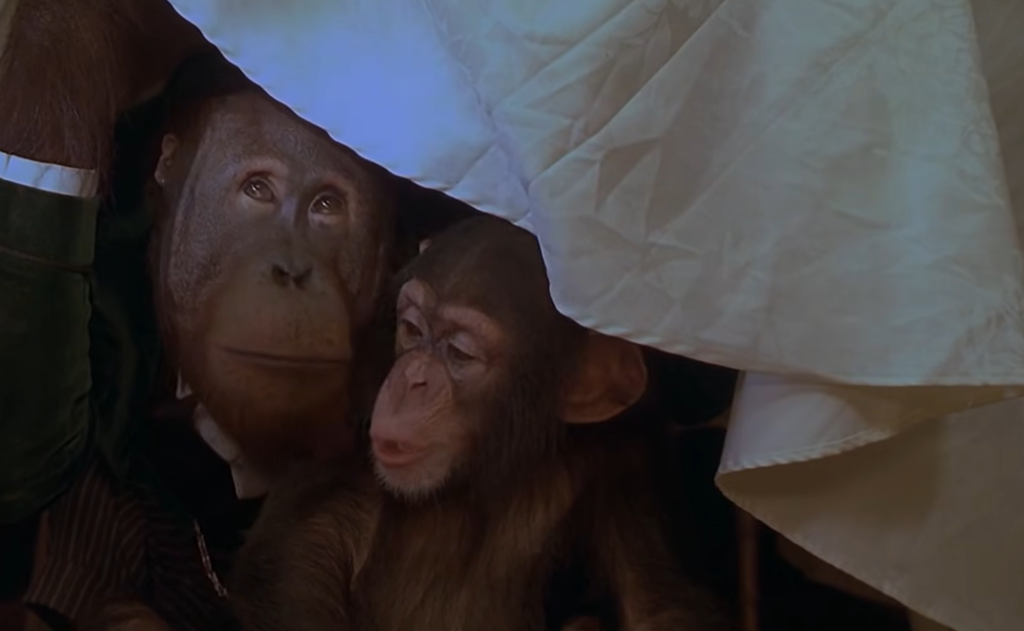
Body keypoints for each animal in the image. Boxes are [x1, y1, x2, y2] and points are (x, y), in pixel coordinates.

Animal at [229, 214, 737, 631]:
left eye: (460, 354)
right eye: (412, 330)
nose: (412, 379)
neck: (477, 477)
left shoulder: (627, 457)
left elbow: (658, 605)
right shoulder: (327, 483)